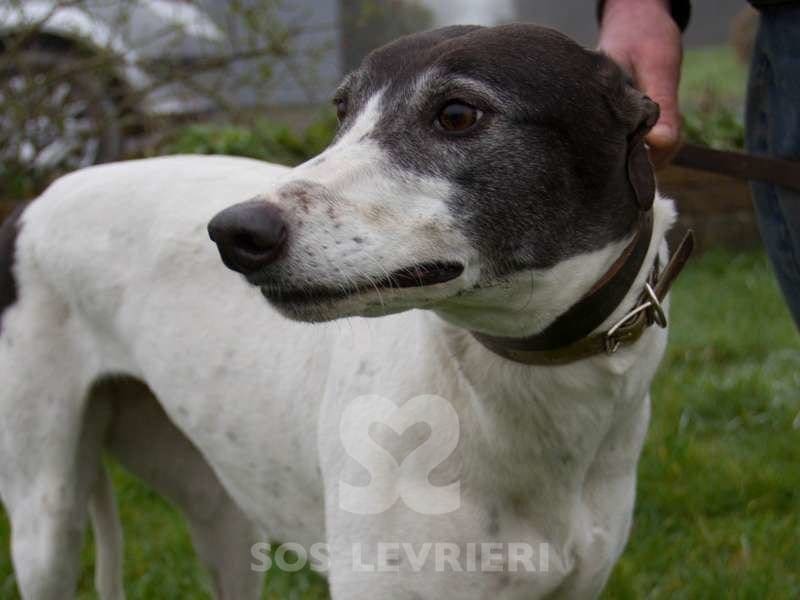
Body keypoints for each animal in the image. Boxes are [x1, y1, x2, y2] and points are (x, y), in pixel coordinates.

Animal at [0, 24, 692, 599]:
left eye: (457, 113)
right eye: (342, 109)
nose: (236, 234)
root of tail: (36, 198)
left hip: (218, 503)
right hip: (47, 518)